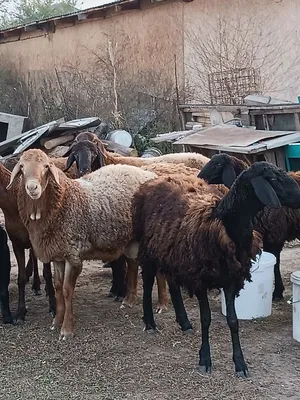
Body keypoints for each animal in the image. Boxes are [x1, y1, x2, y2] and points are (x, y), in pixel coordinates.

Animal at [131, 161, 300, 376]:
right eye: (272, 178)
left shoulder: (231, 279)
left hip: (173, 254)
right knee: (147, 281)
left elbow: (233, 321)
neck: (223, 224)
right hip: (148, 249)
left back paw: (184, 322)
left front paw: (240, 364)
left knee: (173, 284)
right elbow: (206, 319)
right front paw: (205, 359)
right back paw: (150, 322)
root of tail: (152, 181)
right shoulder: (200, 280)